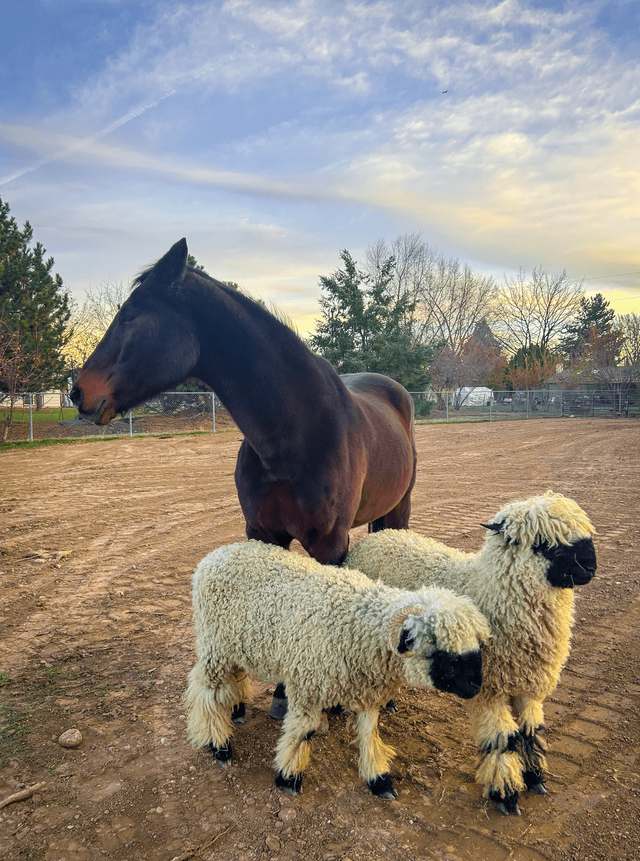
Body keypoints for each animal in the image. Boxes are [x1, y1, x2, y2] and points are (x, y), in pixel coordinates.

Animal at [71, 238, 417, 716]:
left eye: (130, 317)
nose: (77, 391)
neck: (295, 431)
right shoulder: (261, 534)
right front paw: (281, 695)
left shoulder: (330, 545)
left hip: (398, 511)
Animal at [185, 539, 490, 798]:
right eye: (442, 653)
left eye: (477, 646)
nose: (476, 687)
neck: (359, 628)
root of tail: (215, 555)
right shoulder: (308, 685)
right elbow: (302, 732)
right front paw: (288, 778)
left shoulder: (368, 693)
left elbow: (368, 733)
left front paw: (378, 779)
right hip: (214, 646)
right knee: (206, 692)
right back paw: (219, 746)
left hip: (235, 646)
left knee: (231, 680)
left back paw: (236, 711)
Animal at [345, 491, 596, 815]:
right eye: (542, 543)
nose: (590, 567)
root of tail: (378, 536)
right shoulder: (488, 689)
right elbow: (504, 739)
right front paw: (506, 794)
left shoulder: (527, 685)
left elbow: (529, 731)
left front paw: (535, 778)